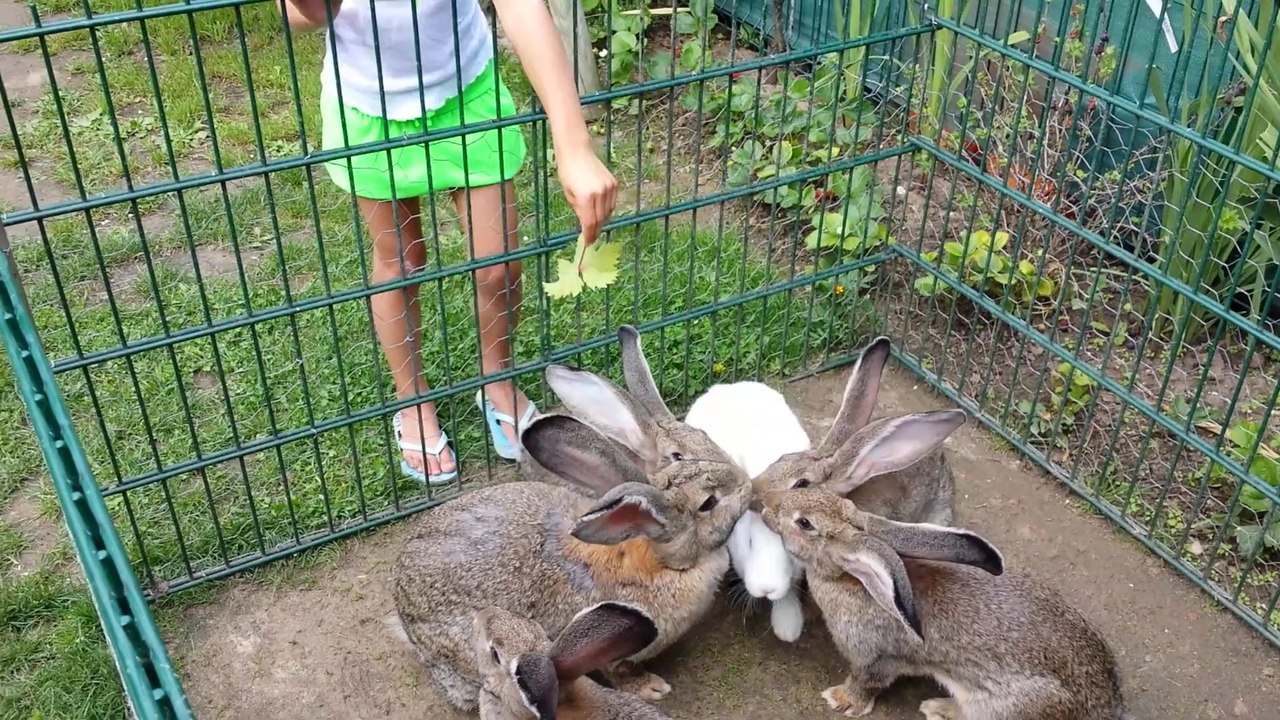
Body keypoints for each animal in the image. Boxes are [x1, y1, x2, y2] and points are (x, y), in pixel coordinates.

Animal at [758, 488, 1128, 720]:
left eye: (804, 523)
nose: (766, 503)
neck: (852, 578)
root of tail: (1108, 708)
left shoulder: (877, 658)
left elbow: (867, 683)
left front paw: (841, 700)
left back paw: (939, 709)